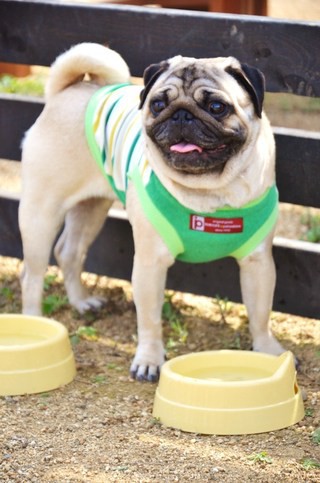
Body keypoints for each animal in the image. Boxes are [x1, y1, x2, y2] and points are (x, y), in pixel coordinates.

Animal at [19, 42, 284, 382]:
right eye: (158, 104)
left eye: (216, 107)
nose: (181, 115)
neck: (211, 192)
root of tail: (67, 91)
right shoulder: (149, 263)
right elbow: (149, 319)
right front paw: (149, 360)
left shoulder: (258, 262)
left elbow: (260, 313)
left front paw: (269, 351)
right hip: (41, 213)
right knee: (32, 274)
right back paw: (34, 321)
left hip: (90, 209)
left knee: (70, 252)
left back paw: (81, 302)